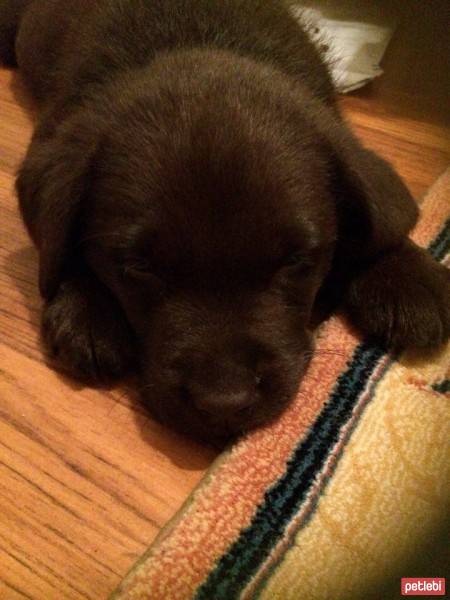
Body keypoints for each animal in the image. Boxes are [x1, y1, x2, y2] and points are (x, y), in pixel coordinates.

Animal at [0, 0, 450, 440]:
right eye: (139, 267)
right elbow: (57, 245)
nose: (224, 402)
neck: (194, 37)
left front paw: (404, 270)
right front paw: (86, 308)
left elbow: (383, 218)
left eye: (295, 262)